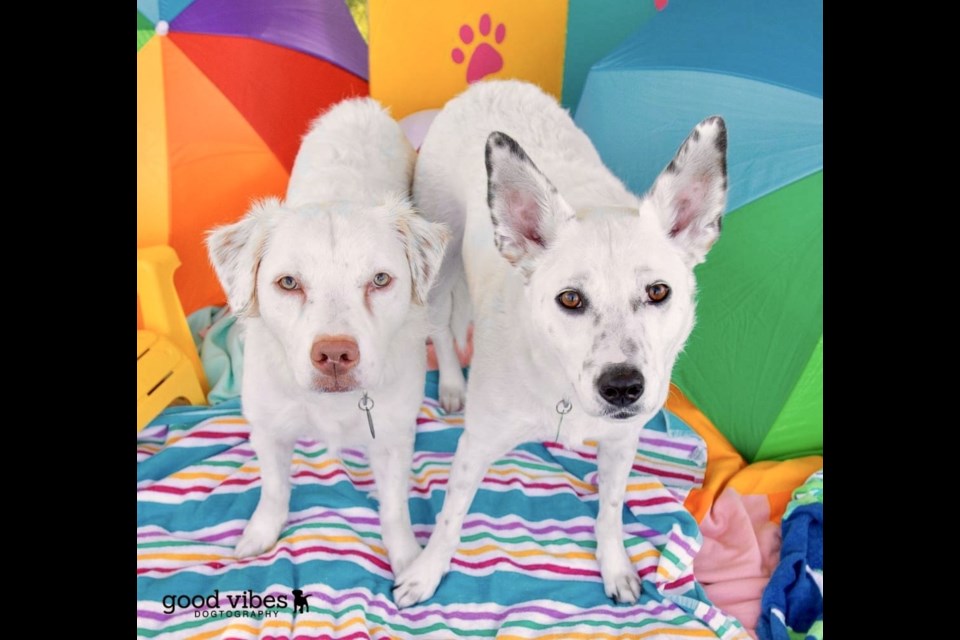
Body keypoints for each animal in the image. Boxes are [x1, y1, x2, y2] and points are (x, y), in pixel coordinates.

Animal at [206, 96, 450, 576]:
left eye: (380, 280)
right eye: (288, 283)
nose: (335, 355)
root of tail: (362, 104)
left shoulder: (393, 436)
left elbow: (395, 508)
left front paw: (407, 559)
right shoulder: (268, 428)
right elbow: (274, 490)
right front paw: (261, 533)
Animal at [392, 82, 728, 608]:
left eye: (658, 292)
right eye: (570, 299)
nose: (623, 388)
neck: (561, 386)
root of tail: (487, 85)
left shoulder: (621, 443)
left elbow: (611, 510)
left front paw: (615, 566)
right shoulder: (476, 444)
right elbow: (450, 517)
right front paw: (425, 573)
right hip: (440, 269)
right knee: (443, 331)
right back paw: (450, 385)